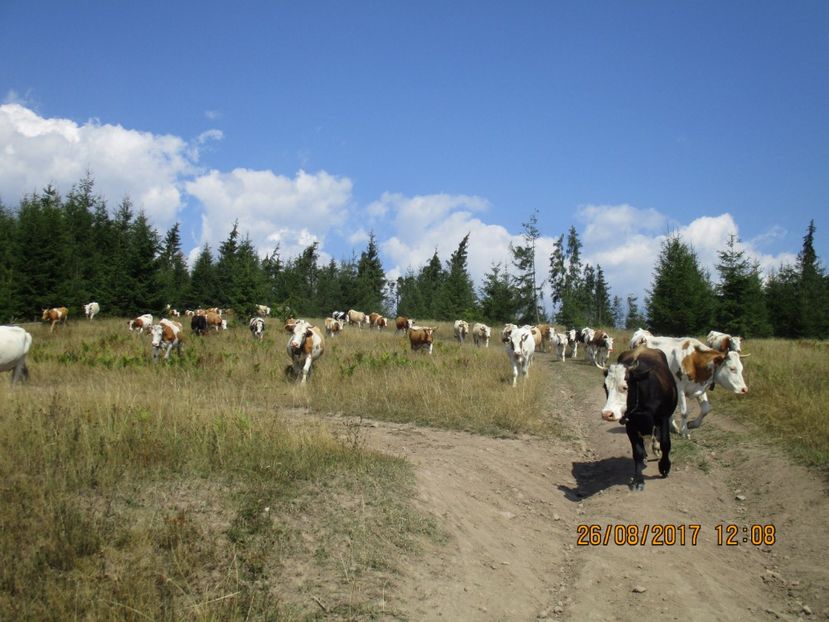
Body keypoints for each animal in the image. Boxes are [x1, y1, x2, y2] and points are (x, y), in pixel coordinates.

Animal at [600, 346, 676, 492]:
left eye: (625, 387)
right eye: (605, 387)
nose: (607, 414)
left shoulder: (664, 418)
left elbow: (665, 443)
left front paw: (664, 467)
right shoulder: (631, 425)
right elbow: (638, 452)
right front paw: (639, 480)